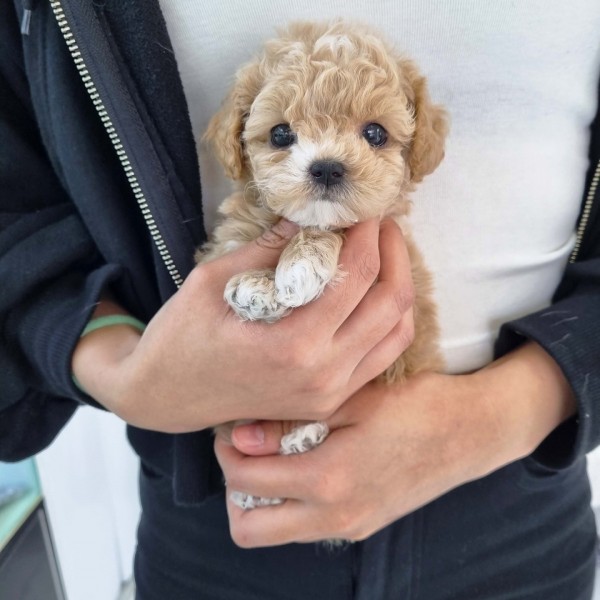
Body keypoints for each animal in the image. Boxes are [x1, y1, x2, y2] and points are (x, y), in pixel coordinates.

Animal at [198, 21, 448, 512]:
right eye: (280, 134)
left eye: (375, 133)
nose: (328, 168)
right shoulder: (227, 241)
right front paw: (257, 291)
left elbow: (331, 231)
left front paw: (298, 267)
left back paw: (304, 439)